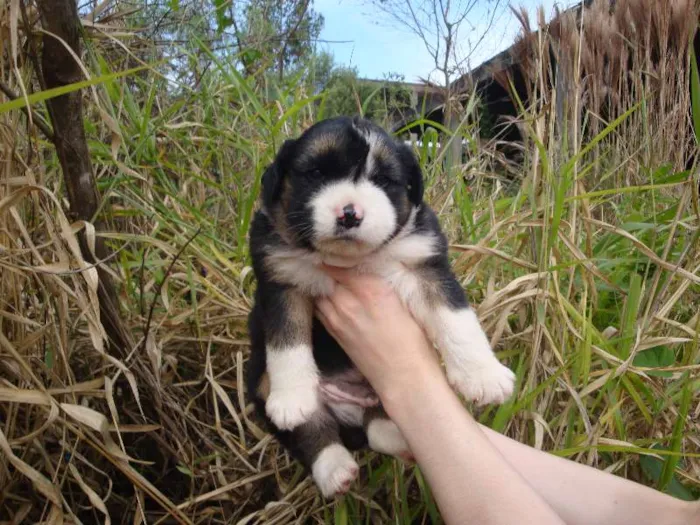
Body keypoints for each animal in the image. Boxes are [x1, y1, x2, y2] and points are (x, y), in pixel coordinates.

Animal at [246, 116, 516, 498]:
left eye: (384, 181)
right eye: (316, 173)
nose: (350, 214)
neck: (348, 259)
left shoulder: (425, 263)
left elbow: (456, 320)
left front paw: (484, 375)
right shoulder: (281, 281)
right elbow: (287, 343)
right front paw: (292, 396)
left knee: (377, 427)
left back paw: (400, 438)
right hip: (259, 381)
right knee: (312, 433)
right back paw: (333, 468)